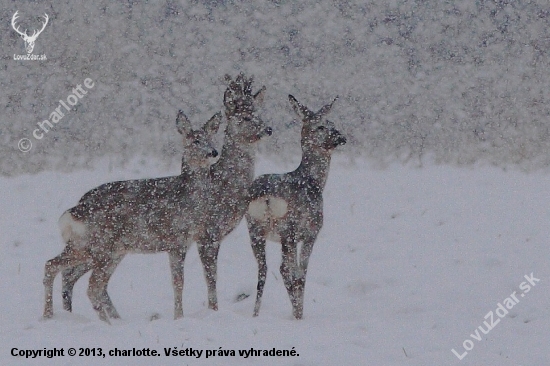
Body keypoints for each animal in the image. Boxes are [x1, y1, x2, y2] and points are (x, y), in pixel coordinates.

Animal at [43, 110, 222, 322]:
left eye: (211, 138)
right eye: (195, 140)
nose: (213, 152)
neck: (188, 199)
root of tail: (75, 211)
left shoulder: (188, 241)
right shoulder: (176, 239)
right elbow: (179, 282)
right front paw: (179, 318)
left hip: (95, 248)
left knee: (56, 267)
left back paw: (51, 316)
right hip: (101, 247)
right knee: (90, 284)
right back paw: (105, 323)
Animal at [58, 73, 272, 318]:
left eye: (260, 113)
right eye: (245, 117)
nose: (268, 129)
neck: (225, 186)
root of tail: (78, 205)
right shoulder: (207, 234)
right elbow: (210, 278)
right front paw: (212, 311)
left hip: (111, 249)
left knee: (75, 277)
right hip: (101, 247)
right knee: (75, 276)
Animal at [248, 95, 348, 320]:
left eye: (332, 122)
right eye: (321, 125)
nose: (341, 137)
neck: (313, 182)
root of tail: (267, 197)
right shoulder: (311, 231)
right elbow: (302, 272)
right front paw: (299, 312)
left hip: (254, 229)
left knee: (263, 268)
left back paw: (255, 314)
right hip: (289, 229)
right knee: (286, 269)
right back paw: (296, 314)